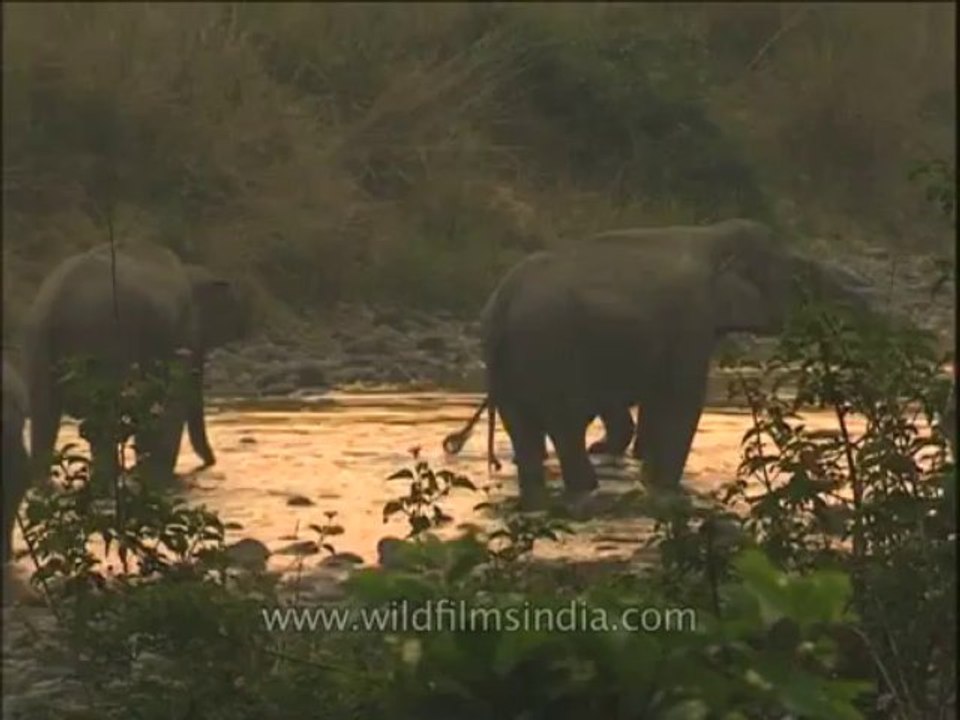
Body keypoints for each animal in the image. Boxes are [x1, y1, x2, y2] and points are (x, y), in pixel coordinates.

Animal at [23, 241, 250, 486]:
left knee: (45, 416)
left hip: (38, 343)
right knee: (99, 421)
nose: (211, 463)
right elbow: (175, 397)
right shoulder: (181, 332)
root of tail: (53, 302)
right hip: (101, 341)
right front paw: (157, 474)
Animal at [443, 218, 878, 509]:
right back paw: (589, 489)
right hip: (550, 350)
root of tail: (502, 303)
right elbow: (681, 403)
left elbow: (657, 404)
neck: (713, 235)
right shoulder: (690, 320)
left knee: (528, 436)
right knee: (566, 431)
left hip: (511, 367)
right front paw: (665, 489)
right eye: (803, 278)